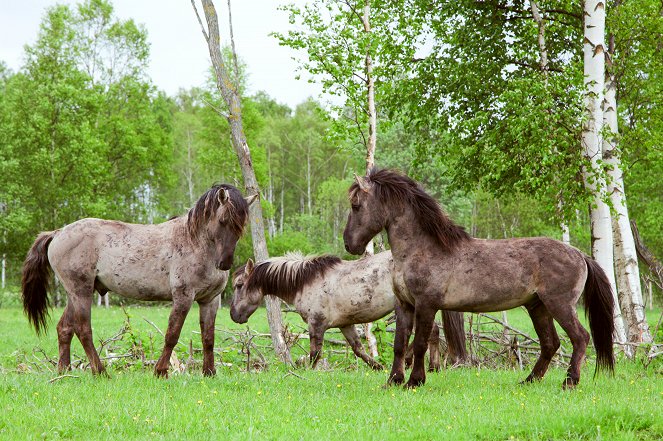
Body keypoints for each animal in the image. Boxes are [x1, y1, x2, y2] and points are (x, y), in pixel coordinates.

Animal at [20, 184, 254, 376]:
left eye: (242, 225)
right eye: (223, 221)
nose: (225, 263)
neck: (195, 242)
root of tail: (58, 232)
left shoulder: (210, 300)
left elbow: (208, 338)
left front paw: (209, 372)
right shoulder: (183, 297)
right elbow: (172, 334)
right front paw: (160, 371)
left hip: (75, 293)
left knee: (65, 328)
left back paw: (64, 371)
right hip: (81, 291)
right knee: (83, 329)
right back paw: (100, 371)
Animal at [342, 168, 616, 388]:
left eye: (356, 205)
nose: (349, 244)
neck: (423, 249)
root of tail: (579, 254)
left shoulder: (426, 305)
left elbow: (420, 343)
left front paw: (414, 381)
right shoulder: (404, 305)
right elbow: (400, 344)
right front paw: (393, 381)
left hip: (559, 304)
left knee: (580, 338)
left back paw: (570, 382)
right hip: (537, 306)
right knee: (551, 343)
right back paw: (529, 380)